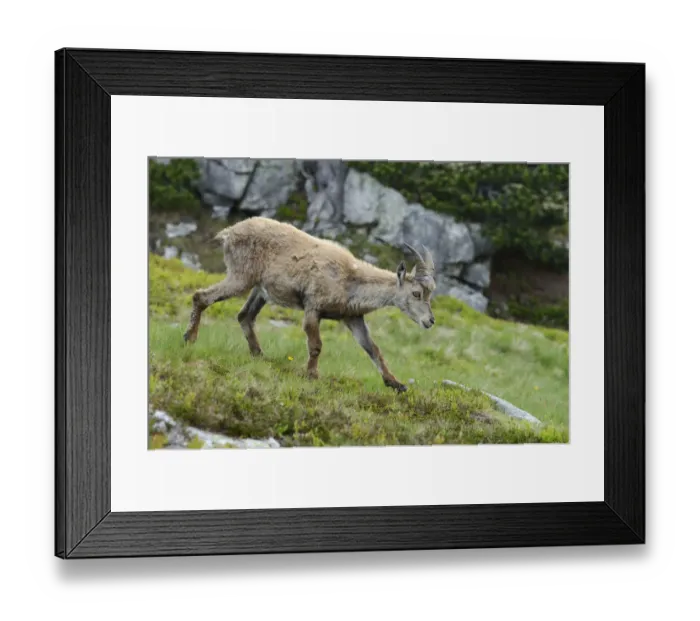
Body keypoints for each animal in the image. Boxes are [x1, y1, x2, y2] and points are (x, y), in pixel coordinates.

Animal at [183, 216, 437, 392]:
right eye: (416, 293)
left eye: (430, 293)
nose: (430, 320)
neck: (351, 281)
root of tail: (229, 233)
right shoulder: (313, 306)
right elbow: (316, 345)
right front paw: (312, 375)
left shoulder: (352, 317)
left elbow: (373, 349)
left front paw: (395, 383)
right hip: (241, 276)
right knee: (201, 297)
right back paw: (190, 337)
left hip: (260, 290)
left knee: (245, 316)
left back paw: (259, 355)